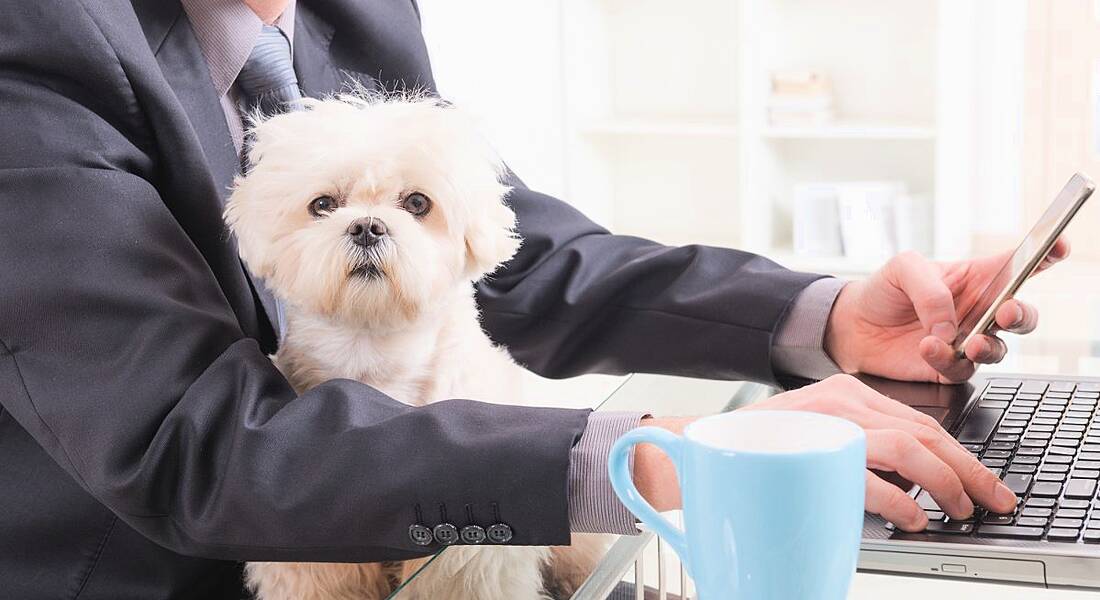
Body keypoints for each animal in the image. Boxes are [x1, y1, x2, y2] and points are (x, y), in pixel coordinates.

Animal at [223, 94, 602, 598]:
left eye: (417, 202)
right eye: (323, 205)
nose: (366, 227)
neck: (375, 355)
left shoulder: (469, 559)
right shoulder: (307, 553)